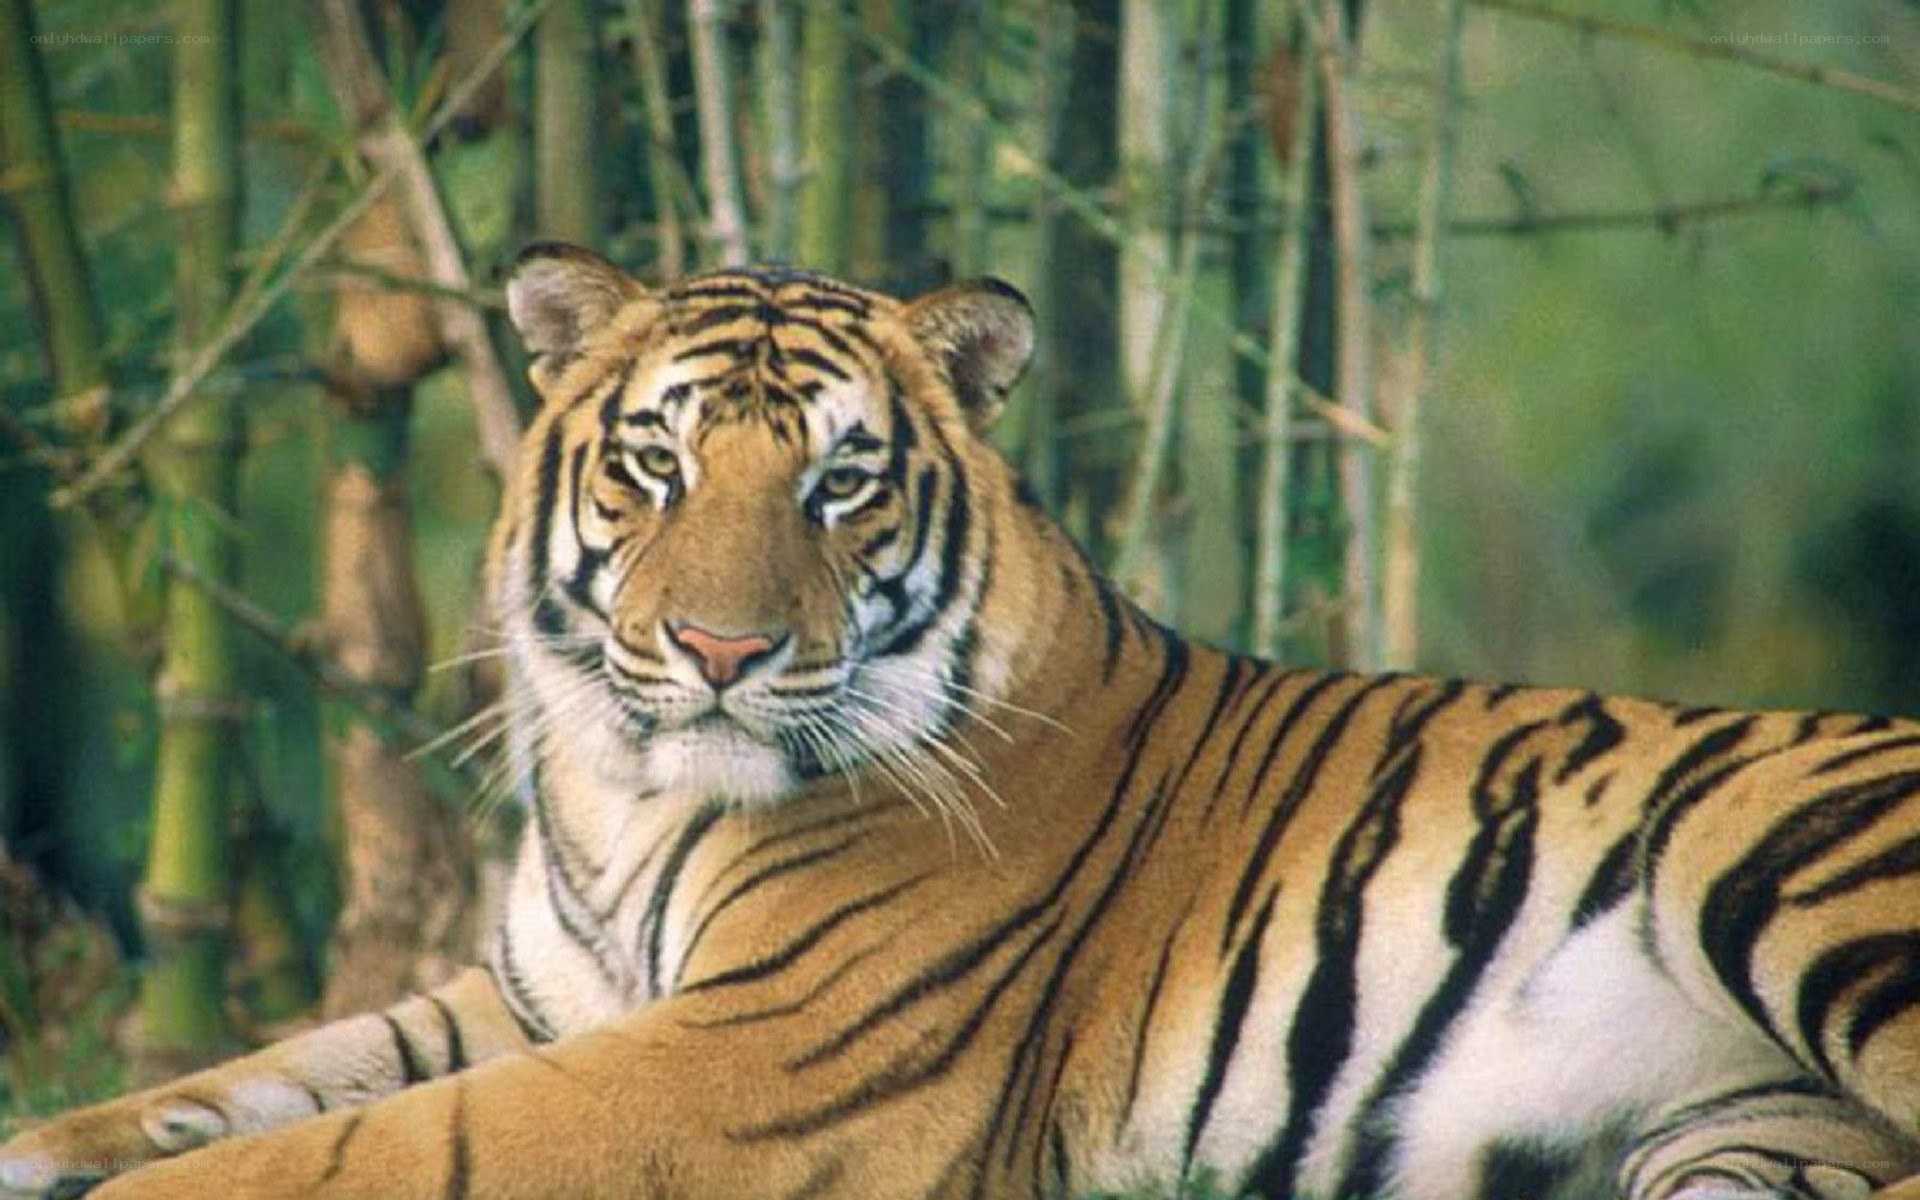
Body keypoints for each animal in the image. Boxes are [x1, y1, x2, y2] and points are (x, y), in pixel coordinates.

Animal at [7, 242, 1920, 1200]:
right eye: (658, 463)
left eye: (840, 483)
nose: (715, 647)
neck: (627, 794)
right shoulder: (532, 996)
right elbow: (271, 1076)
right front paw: (48, 1145)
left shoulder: (762, 1054)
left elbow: (373, 1145)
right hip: (1733, 1154)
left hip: (1801, 884)